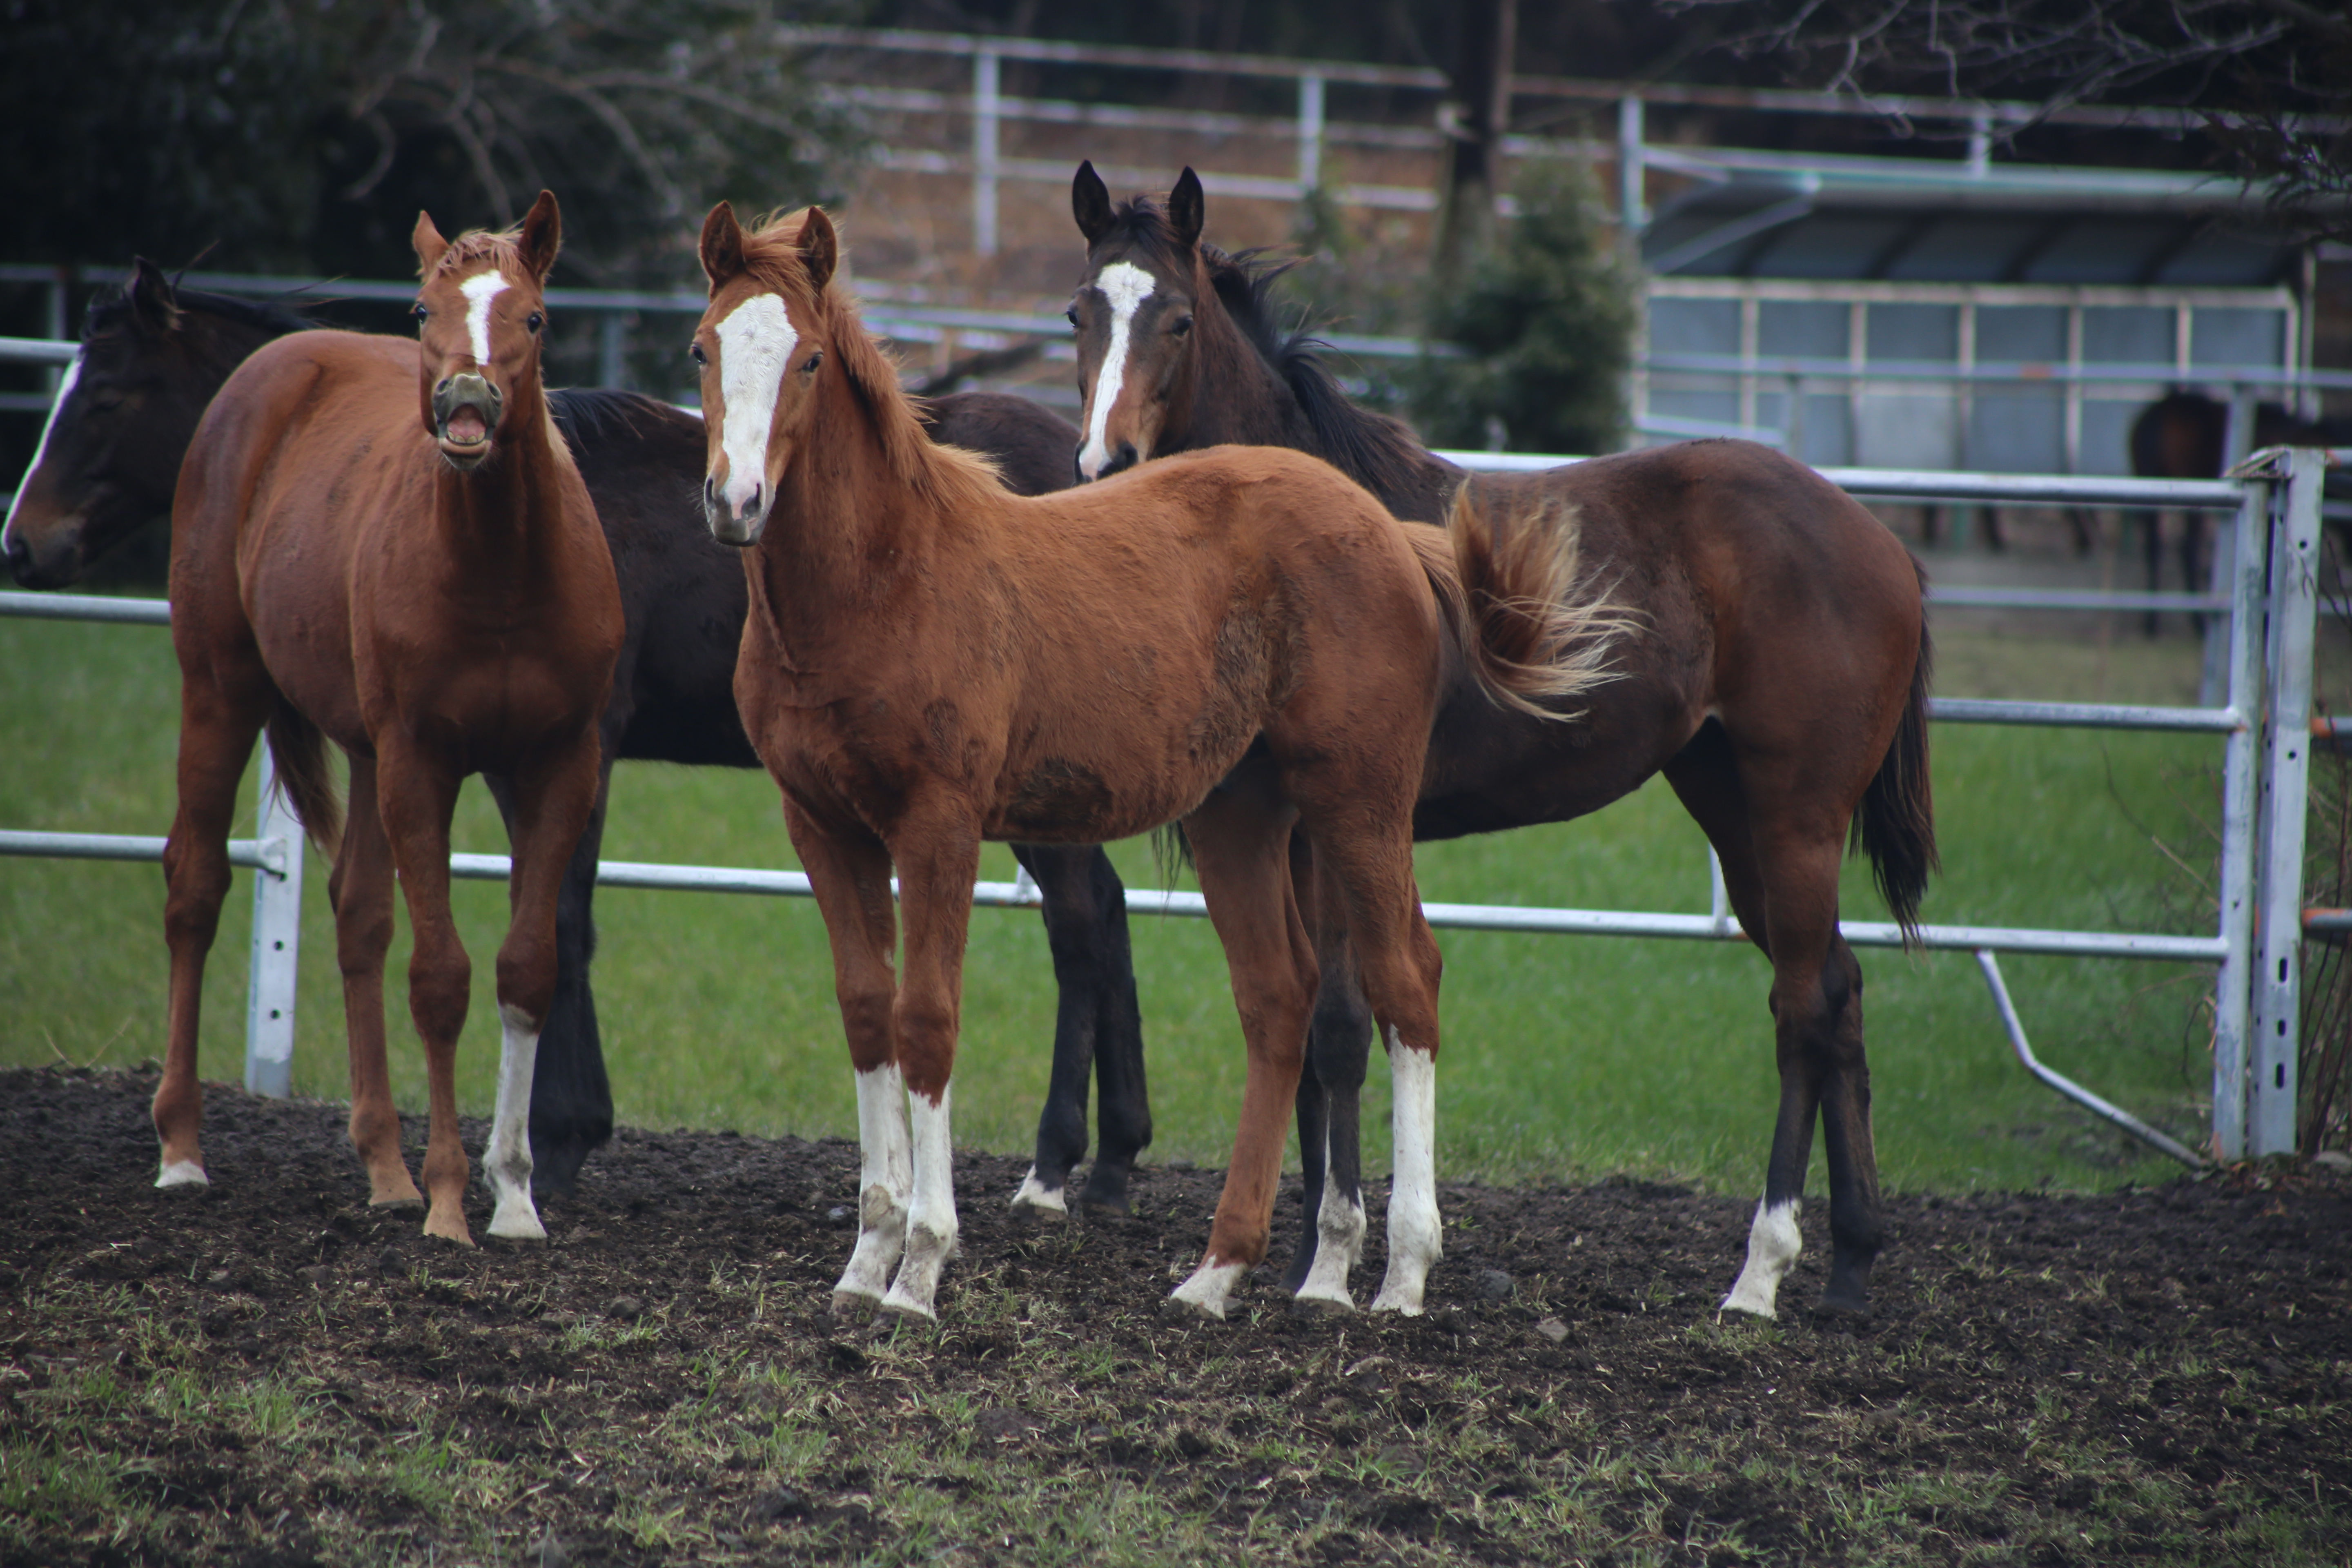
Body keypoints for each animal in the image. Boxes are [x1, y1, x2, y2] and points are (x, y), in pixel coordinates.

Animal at [7, 261, 1147, 1213]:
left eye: (104, 398)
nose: (25, 540)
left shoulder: (576, 746)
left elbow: (560, 918)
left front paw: (555, 1141)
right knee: (1105, 912)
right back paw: (1112, 1160)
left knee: (1081, 919)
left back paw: (1056, 1166)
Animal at [156, 193, 626, 1250]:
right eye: (421, 310)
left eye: (534, 316)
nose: (466, 403)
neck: (501, 570)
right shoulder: (425, 761)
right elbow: (442, 979)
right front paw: (452, 1201)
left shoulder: (557, 763)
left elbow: (525, 968)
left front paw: (516, 1197)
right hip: (221, 692)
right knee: (195, 887)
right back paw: (182, 1151)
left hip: (367, 753)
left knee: (358, 916)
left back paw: (384, 1168)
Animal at [696, 200, 1618, 1326]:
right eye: (702, 348)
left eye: (812, 360)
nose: (735, 501)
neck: (880, 581)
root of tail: (1390, 531)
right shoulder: (822, 824)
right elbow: (868, 1014)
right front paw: (864, 1262)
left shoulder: (938, 824)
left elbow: (927, 1020)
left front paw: (919, 1270)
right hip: (1240, 814)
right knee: (1278, 999)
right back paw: (1222, 1271)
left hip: (1359, 803)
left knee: (1407, 984)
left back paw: (1398, 1274)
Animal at [1063, 165, 1929, 1326]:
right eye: (1079, 314)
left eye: (1178, 318)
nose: (1103, 462)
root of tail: (1877, 540)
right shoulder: (1298, 835)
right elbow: (1319, 1033)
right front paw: (1312, 1257)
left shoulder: (1337, 829)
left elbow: (1341, 1024)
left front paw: (1336, 1262)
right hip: (1733, 812)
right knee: (1837, 991)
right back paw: (1848, 1268)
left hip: (1795, 817)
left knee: (1802, 1007)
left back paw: (1760, 1273)